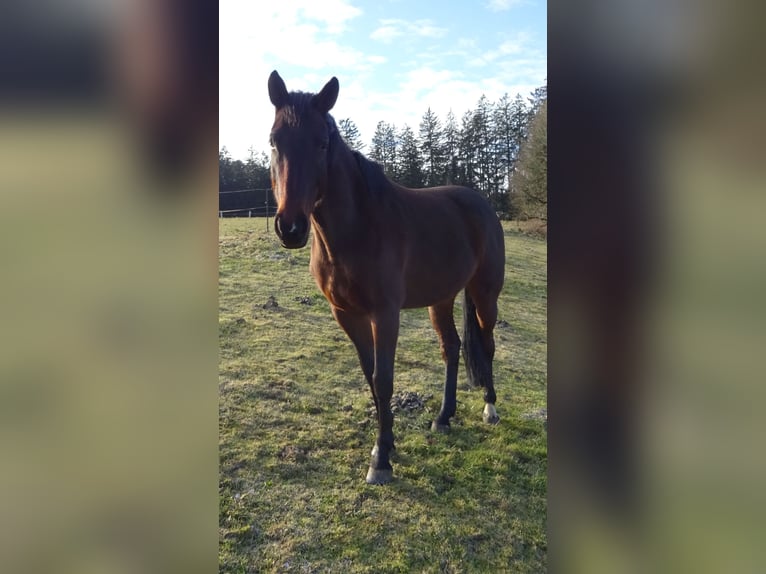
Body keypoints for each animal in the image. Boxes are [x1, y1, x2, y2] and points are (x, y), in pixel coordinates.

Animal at [268, 72, 508, 486]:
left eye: (321, 143)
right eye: (273, 141)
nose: (291, 228)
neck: (358, 228)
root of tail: (481, 204)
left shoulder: (385, 313)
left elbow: (383, 379)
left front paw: (381, 460)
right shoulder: (346, 314)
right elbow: (370, 376)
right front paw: (388, 444)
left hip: (485, 295)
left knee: (487, 344)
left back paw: (489, 409)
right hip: (441, 299)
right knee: (452, 348)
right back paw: (443, 417)